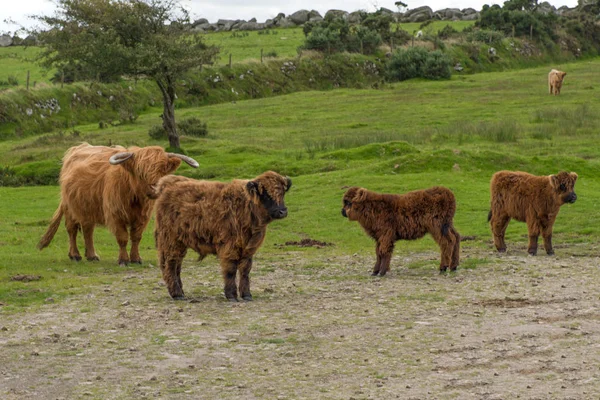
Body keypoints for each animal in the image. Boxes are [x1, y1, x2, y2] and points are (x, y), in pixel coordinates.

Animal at [38, 144, 199, 266]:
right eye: (140, 171)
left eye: (163, 169)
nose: (155, 188)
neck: (134, 198)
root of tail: (76, 149)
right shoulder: (116, 214)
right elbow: (122, 237)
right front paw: (123, 260)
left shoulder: (143, 216)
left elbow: (136, 237)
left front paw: (136, 258)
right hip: (70, 208)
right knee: (71, 230)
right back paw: (75, 255)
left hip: (87, 209)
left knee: (88, 230)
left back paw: (92, 255)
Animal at [150, 170, 290, 302]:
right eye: (266, 194)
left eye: (283, 193)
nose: (282, 211)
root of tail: (168, 184)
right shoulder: (230, 247)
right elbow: (230, 270)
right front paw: (231, 295)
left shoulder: (248, 249)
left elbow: (245, 270)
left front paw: (247, 295)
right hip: (171, 241)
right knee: (170, 264)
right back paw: (177, 294)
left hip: (180, 243)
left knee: (177, 265)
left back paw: (181, 292)